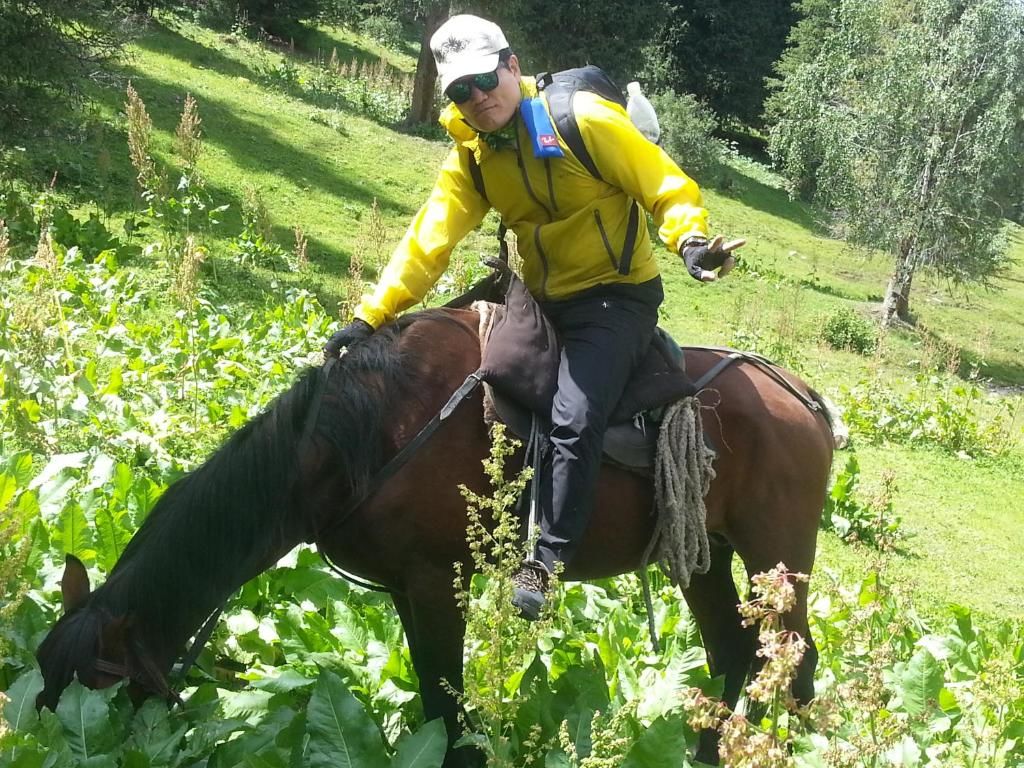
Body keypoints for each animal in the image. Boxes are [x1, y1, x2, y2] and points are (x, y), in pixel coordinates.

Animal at [36, 305, 831, 765]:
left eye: (99, 688)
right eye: (44, 677)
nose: (52, 736)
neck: (363, 433)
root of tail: (801, 395)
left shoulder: (436, 582)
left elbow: (448, 707)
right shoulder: (403, 591)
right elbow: (431, 692)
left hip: (777, 559)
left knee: (794, 662)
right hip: (704, 555)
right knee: (732, 651)